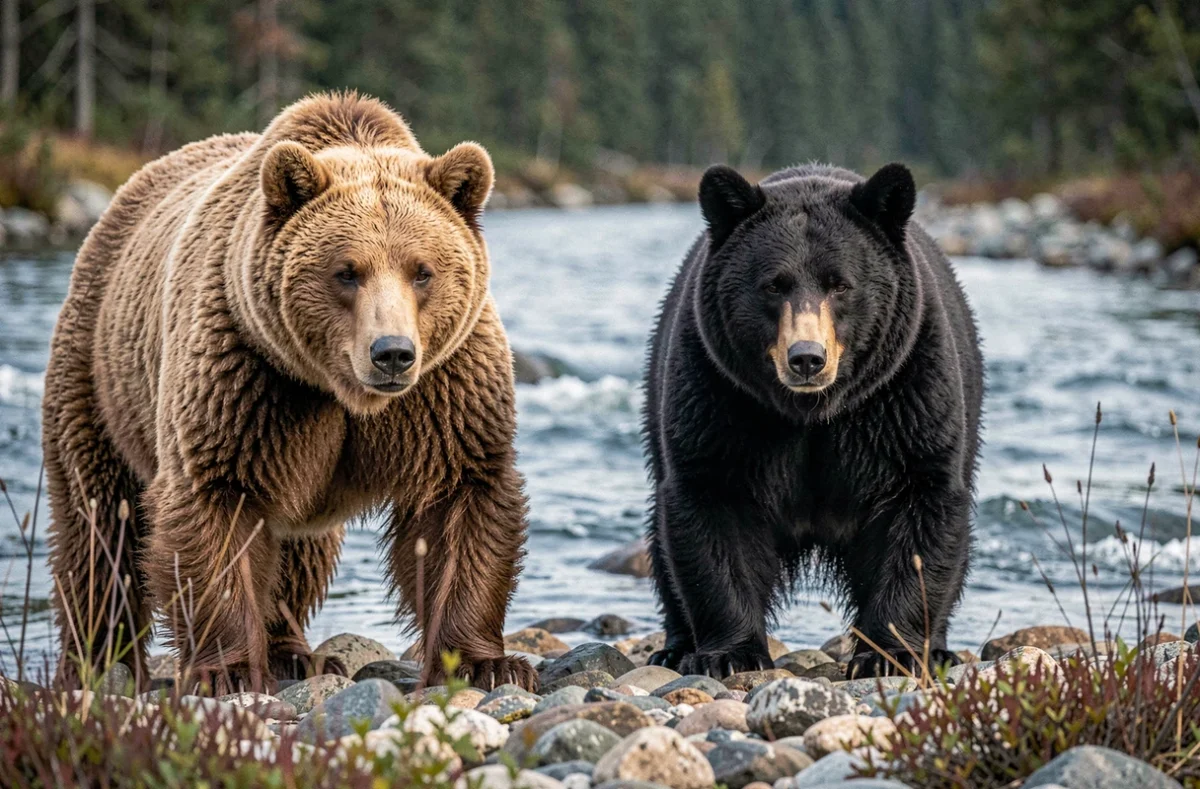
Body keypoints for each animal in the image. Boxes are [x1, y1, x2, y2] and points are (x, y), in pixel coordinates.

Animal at [41, 92, 536, 693]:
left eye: (423, 271)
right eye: (347, 271)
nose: (392, 353)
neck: (340, 392)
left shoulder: (445, 391)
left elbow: (463, 499)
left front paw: (485, 662)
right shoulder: (247, 378)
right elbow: (214, 509)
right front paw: (227, 672)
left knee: (300, 554)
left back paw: (292, 653)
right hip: (99, 374)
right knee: (99, 526)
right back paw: (99, 659)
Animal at [642, 162, 983, 679]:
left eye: (839, 284)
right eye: (773, 284)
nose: (807, 358)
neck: (815, 412)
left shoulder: (903, 396)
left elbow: (921, 505)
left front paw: (890, 654)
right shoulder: (720, 395)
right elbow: (712, 503)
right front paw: (731, 654)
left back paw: (939, 649)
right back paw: (675, 647)